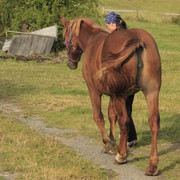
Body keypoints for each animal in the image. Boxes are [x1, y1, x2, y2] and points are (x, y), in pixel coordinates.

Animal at [62, 17, 162, 176]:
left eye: (65, 37)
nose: (70, 63)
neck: (92, 40)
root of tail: (137, 40)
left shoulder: (94, 90)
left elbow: (99, 117)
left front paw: (108, 144)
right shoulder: (112, 95)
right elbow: (111, 116)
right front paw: (113, 141)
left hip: (121, 95)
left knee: (125, 121)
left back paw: (121, 156)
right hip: (151, 92)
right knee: (153, 122)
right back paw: (152, 165)